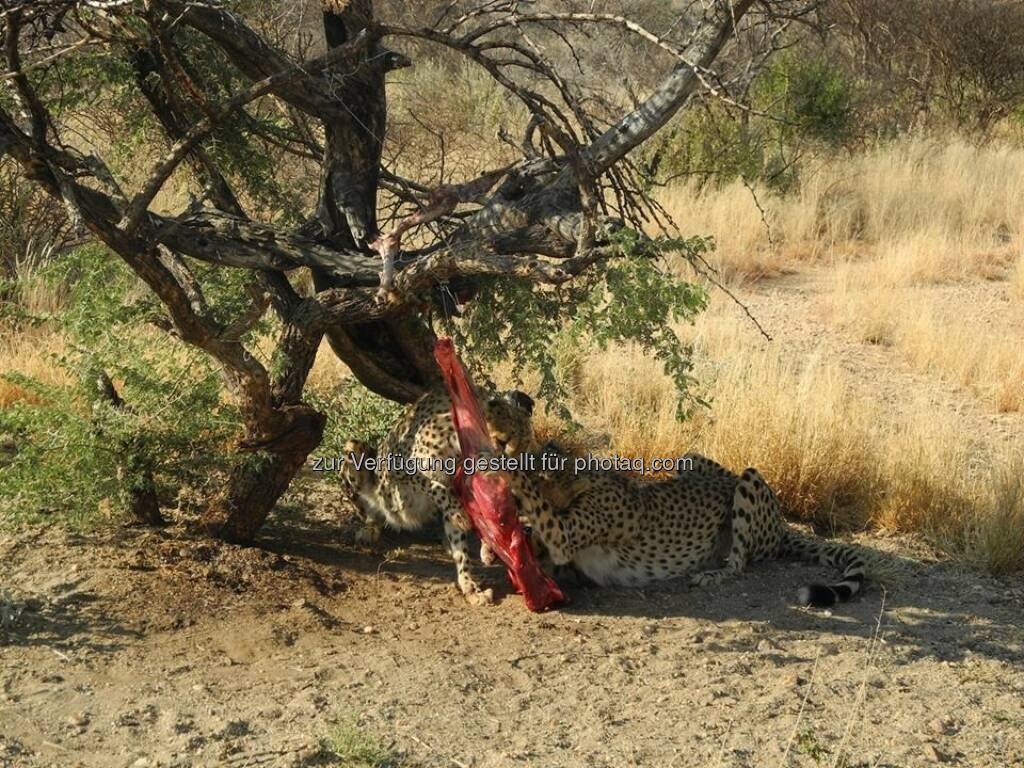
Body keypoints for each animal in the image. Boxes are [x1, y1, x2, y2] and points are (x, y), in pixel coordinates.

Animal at [344, 391, 536, 606]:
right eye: (503, 441)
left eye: (523, 448)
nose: (509, 468)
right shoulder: (396, 473)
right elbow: (435, 486)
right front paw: (462, 516)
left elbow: (461, 542)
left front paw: (470, 584)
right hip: (354, 449)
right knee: (369, 511)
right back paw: (368, 530)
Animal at [516, 448, 868, 610]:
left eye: (541, 466)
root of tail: (782, 527)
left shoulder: (564, 536)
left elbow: (537, 505)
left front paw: (506, 467)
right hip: (689, 458)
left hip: (749, 479)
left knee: (739, 565)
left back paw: (711, 574)